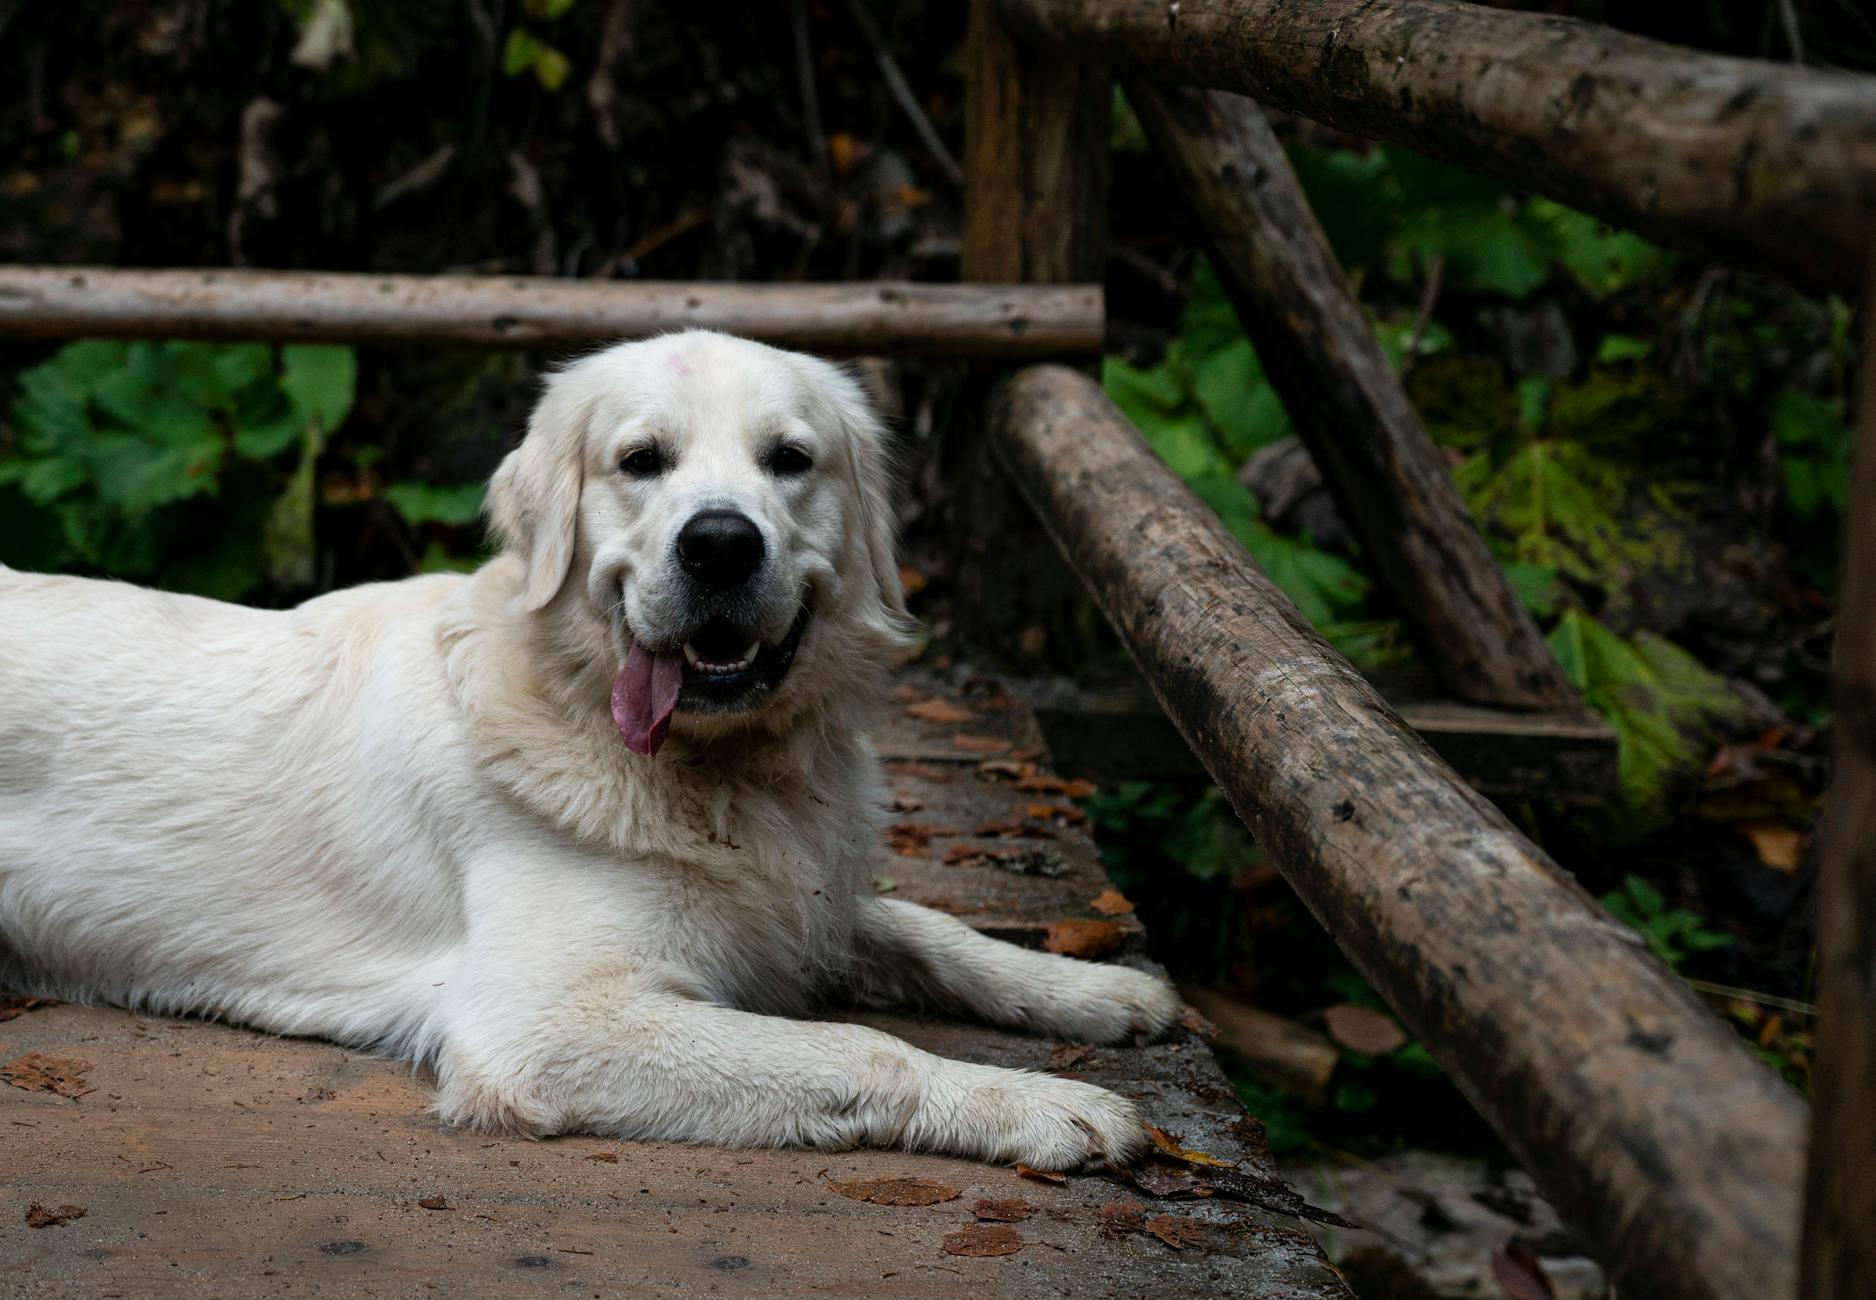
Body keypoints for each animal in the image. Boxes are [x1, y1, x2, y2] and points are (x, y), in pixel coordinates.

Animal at [0, 330, 1170, 1163]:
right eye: (640, 461)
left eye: (790, 461)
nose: (719, 544)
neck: (715, 771)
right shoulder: (542, 1023)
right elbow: (864, 1047)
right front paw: (1041, 1103)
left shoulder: (801, 900)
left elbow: (930, 929)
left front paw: (1096, 992)